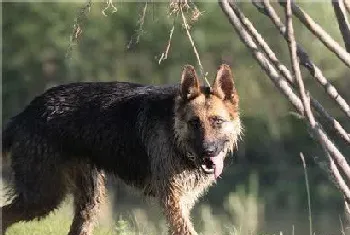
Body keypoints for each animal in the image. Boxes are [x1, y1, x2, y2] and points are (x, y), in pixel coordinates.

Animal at [1, 64, 241, 235]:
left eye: (217, 121)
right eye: (194, 123)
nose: (208, 151)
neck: (174, 131)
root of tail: (24, 113)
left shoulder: (182, 201)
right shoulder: (173, 202)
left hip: (88, 202)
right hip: (43, 196)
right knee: (5, 215)